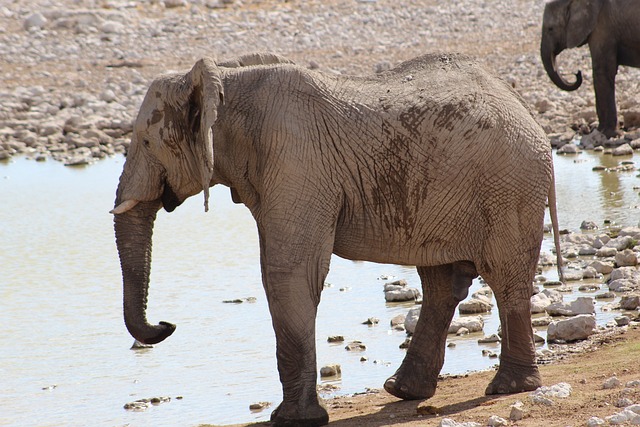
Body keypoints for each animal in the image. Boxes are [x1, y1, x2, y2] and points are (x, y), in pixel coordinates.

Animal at [112, 51, 564, 426]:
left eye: (147, 141)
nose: (167, 324)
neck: (226, 80)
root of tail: (525, 110)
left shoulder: (296, 162)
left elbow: (288, 271)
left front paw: (292, 420)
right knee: (441, 281)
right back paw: (403, 391)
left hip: (509, 186)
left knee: (504, 276)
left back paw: (509, 388)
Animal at [540, 0, 640, 137]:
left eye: (550, 29)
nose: (577, 73)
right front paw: (599, 131)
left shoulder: (602, 26)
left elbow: (602, 71)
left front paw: (607, 133)